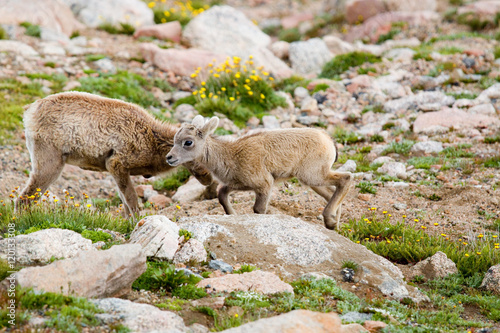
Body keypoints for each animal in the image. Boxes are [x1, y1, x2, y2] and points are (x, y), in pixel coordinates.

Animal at [17, 91, 217, 215]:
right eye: (190, 144)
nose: (208, 179)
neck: (152, 139)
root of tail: (30, 112)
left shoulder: (116, 170)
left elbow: (125, 203)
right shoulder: (116, 164)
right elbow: (131, 200)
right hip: (50, 163)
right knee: (23, 199)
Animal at [166, 114, 354, 228]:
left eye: (188, 142)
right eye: (174, 139)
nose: (169, 158)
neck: (232, 155)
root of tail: (329, 141)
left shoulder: (264, 185)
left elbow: (258, 209)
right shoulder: (237, 185)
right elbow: (221, 194)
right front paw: (233, 214)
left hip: (313, 176)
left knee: (345, 178)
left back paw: (329, 219)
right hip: (314, 180)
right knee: (331, 192)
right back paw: (333, 224)